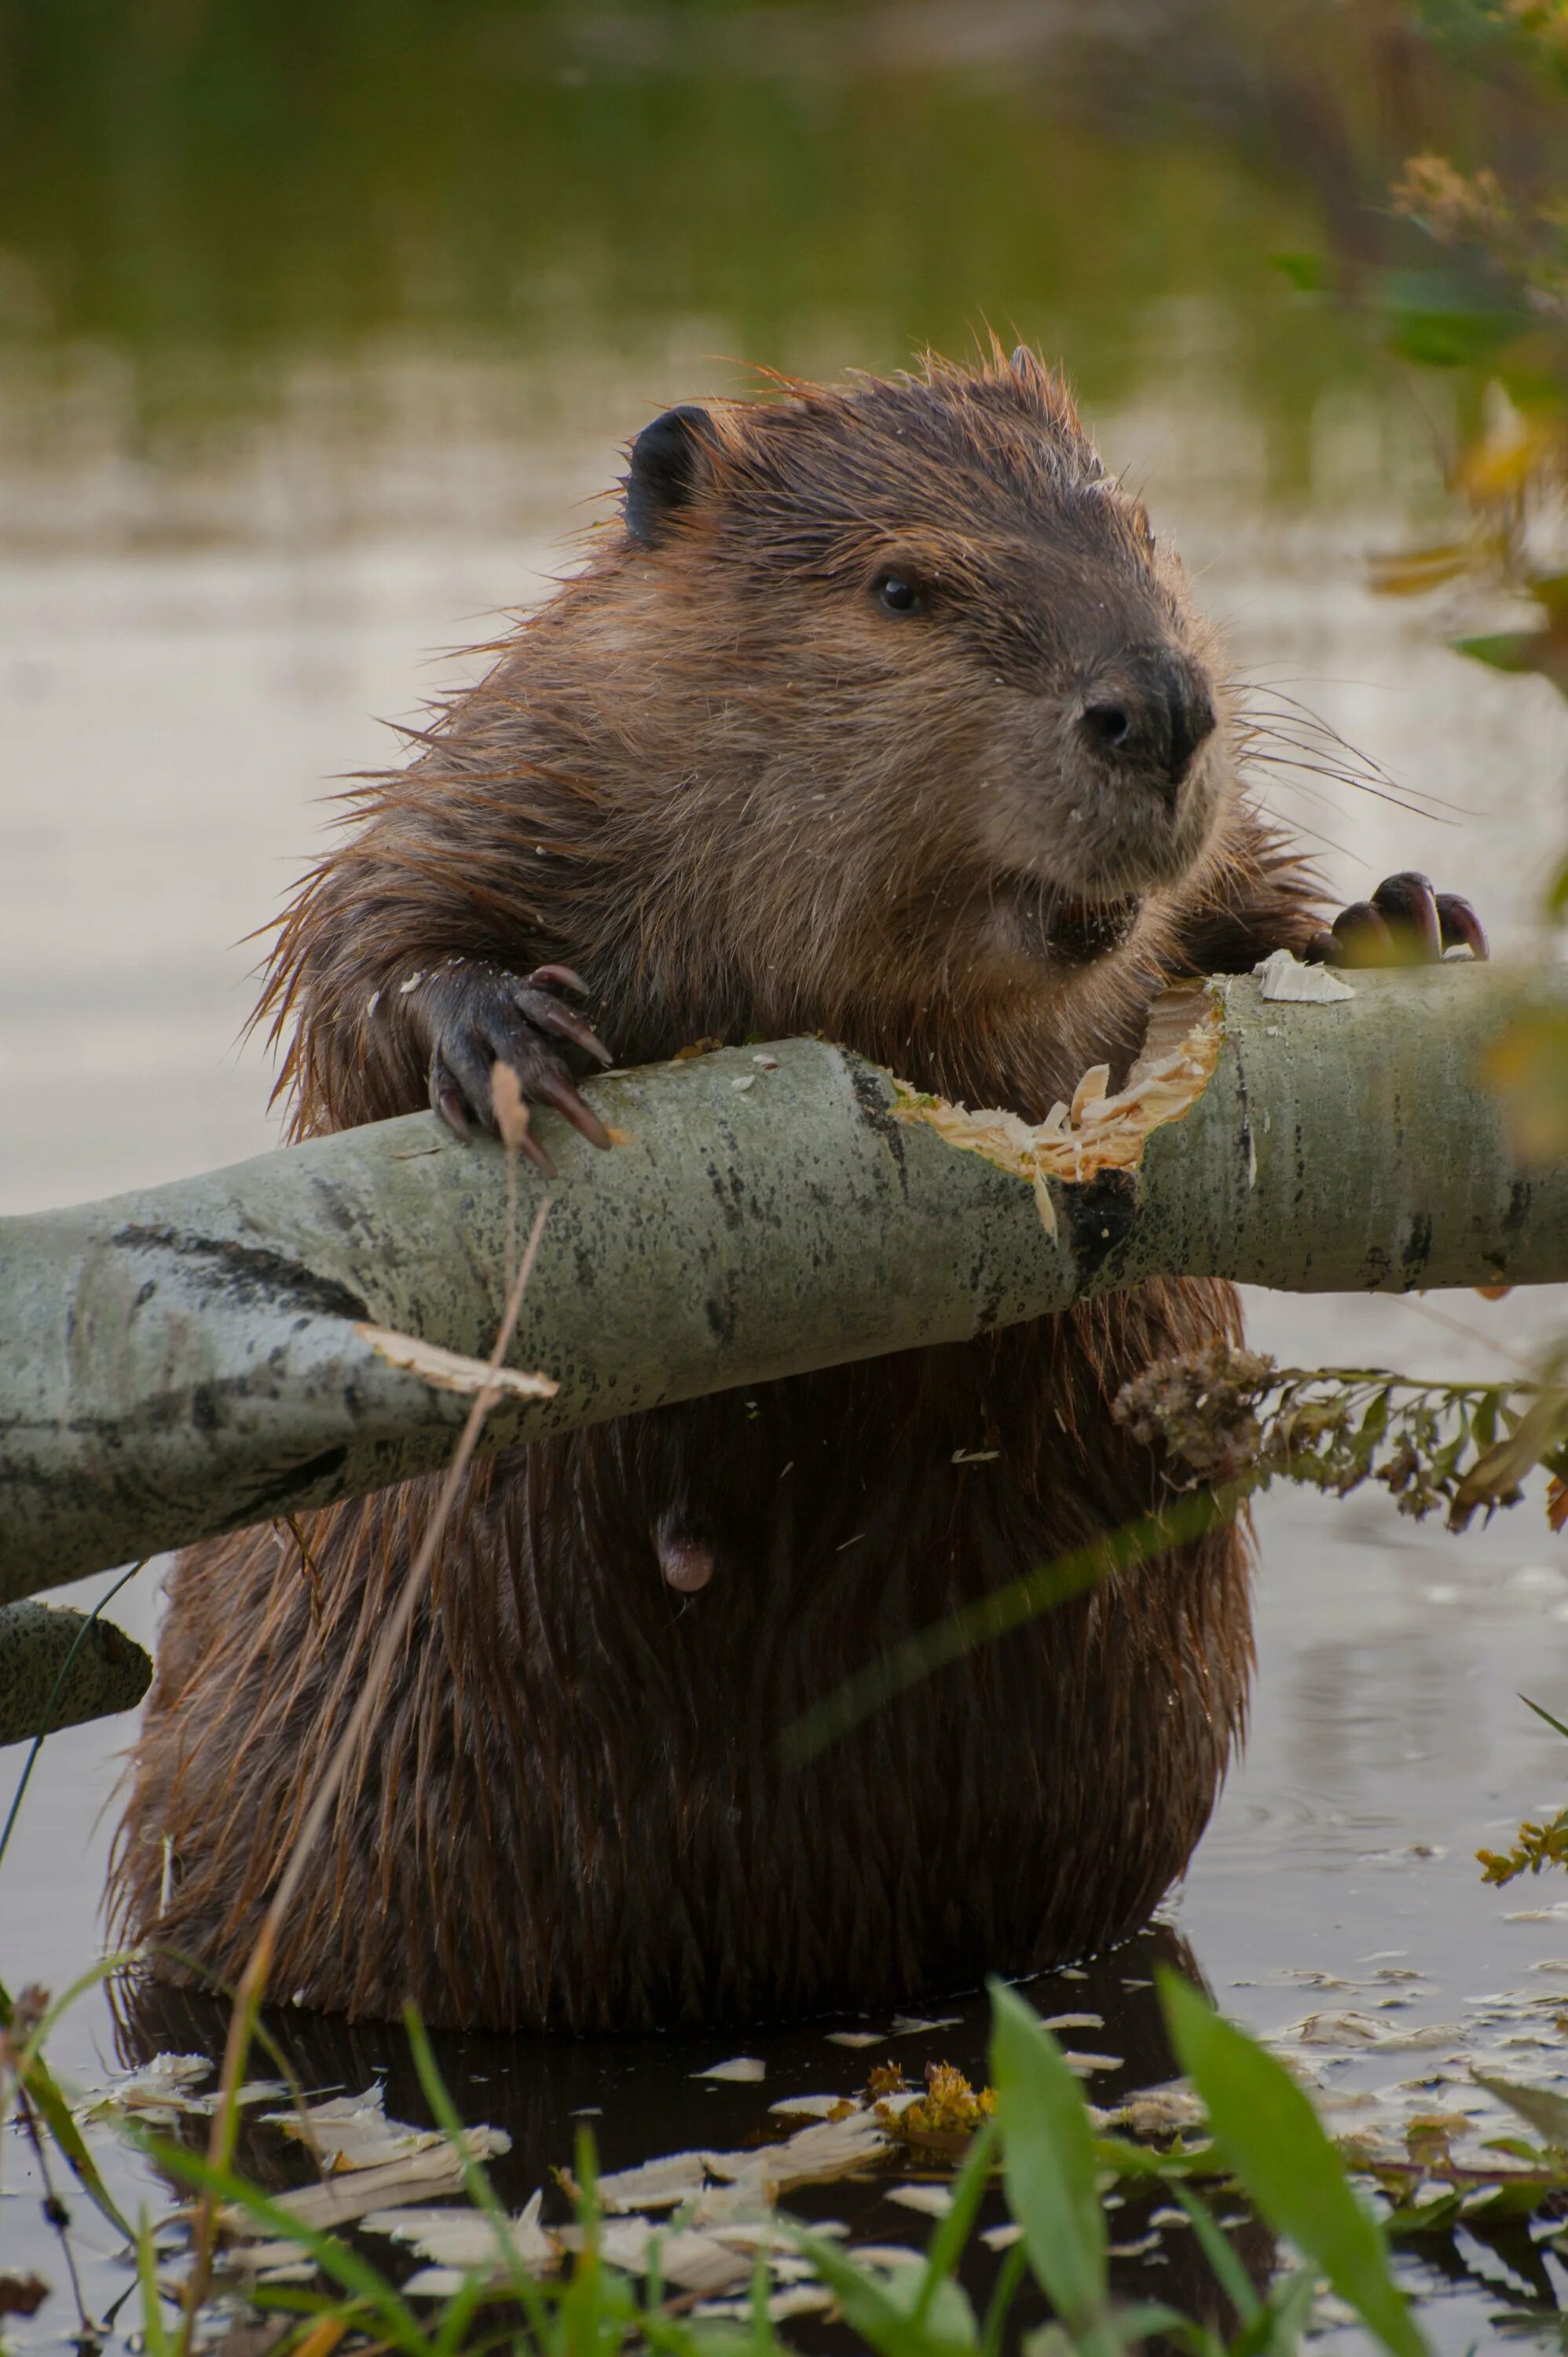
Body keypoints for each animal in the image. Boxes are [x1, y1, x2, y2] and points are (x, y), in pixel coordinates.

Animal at [107, 344, 1480, 2027]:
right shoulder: (538, 749)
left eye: (1145, 529)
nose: (1157, 706)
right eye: (901, 586)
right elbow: (366, 929)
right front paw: (504, 1037)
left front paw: (1399, 913)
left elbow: (1235, 895)